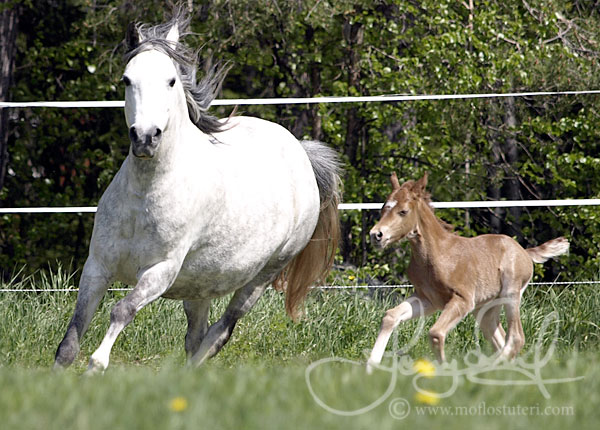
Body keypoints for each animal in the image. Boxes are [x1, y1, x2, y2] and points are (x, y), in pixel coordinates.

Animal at [55, 11, 342, 372]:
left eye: (171, 81)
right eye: (126, 79)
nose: (145, 137)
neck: (145, 196)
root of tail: (301, 152)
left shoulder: (160, 270)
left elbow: (122, 309)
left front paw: (96, 364)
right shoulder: (97, 267)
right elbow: (70, 338)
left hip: (262, 276)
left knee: (220, 332)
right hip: (200, 285)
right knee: (196, 338)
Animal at [366, 172, 568, 370]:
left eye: (403, 211)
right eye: (383, 208)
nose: (376, 235)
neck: (437, 254)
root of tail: (525, 252)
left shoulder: (463, 300)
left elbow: (436, 333)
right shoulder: (428, 299)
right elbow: (390, 316)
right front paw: (371, 366)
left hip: (511, 294)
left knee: (516, 338)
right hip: (485, 308)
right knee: (501, 338)